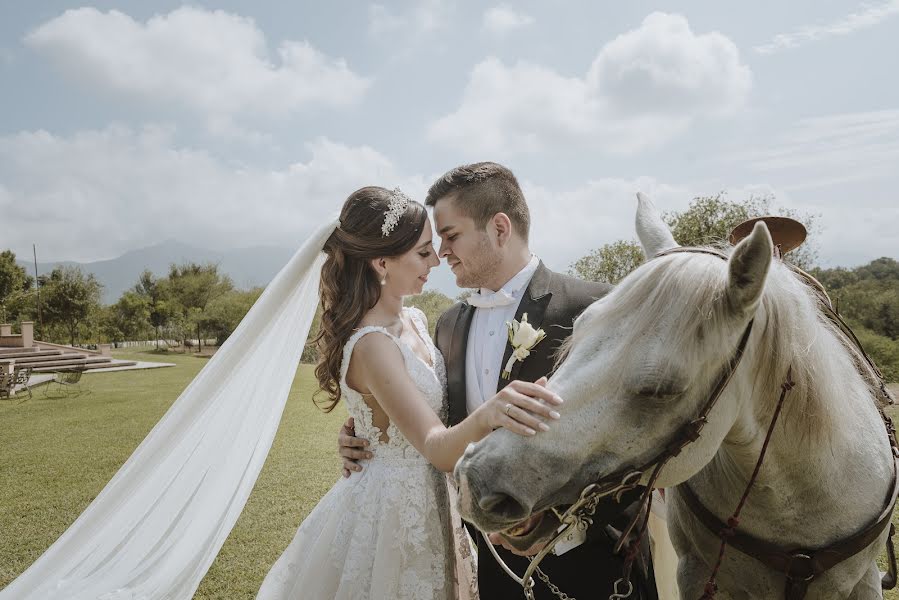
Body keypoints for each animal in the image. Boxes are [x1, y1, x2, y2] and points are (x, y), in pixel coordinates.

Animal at [460, 195, 896, 596]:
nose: (476, 479)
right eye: (577, 330)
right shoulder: (696, 575)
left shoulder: (864, 583)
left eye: (660, 390)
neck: (796, 500)